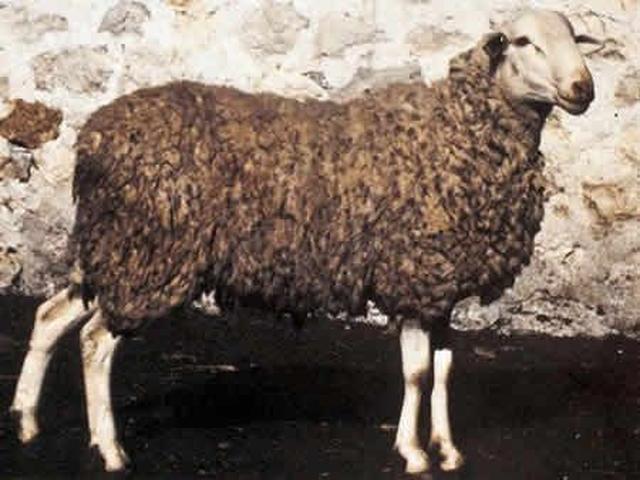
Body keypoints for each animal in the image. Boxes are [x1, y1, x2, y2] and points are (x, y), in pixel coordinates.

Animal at [10, 9, 595, 474]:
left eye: (573, 37)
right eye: (523, 41)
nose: (583, 90)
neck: (458, 132)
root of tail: (93, 138)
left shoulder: (441, 287)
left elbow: (446, 372)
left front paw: (448, 450)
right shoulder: (412, 277)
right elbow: (417, 374)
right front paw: (412, 452)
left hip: (115, 250)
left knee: (51, 316)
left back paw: (27, 421)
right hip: (152, 253)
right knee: (95, 341)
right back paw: (109, 450)